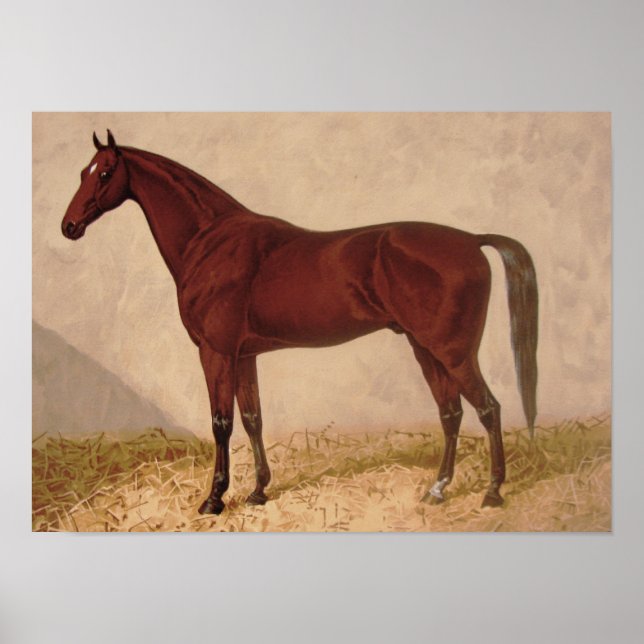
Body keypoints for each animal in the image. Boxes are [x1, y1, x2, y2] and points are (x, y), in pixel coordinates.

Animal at [61, 130, 538, 515]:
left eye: (105, 172)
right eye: (83, 171)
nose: (69, 226)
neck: (211, 240)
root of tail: (472, 240)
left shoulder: (216, 352)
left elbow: (221, 423)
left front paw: (214, 499)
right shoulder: (245, 356)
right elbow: (253, 418)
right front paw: (258, 492)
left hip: (453, 351)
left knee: (488, 409)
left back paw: (492, 492)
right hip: (426, 349)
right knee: (451, 413)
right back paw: (437, 490)